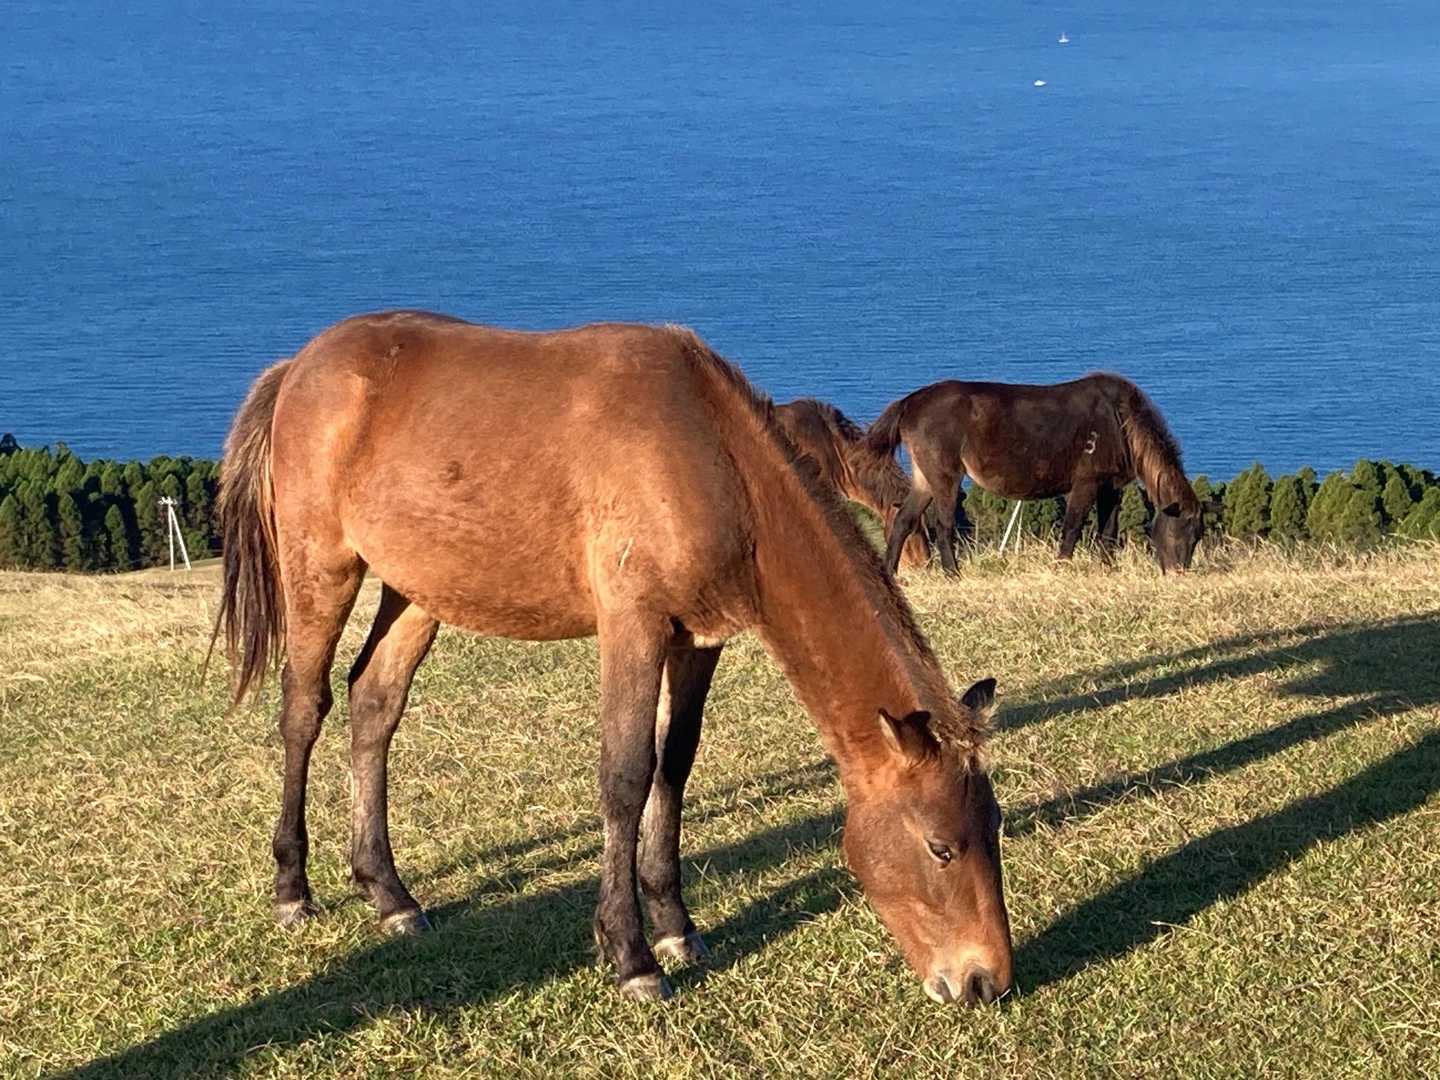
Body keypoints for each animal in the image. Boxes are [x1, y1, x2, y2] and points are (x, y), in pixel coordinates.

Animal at [866, 373, 1204, 575]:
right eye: (1180, 531)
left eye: (1197, 537)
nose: (1179, 573)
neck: (1120, 419)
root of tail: (909, 402)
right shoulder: (1086, 482)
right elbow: (1073, 526)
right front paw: (1062, 567)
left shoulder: (1112, 486)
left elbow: (1108, 530)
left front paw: (1107, 569)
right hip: (944, 475)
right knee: (944, 525)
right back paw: (953, 575)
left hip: (925, 477)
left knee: (904, 520)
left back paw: (891, 572)